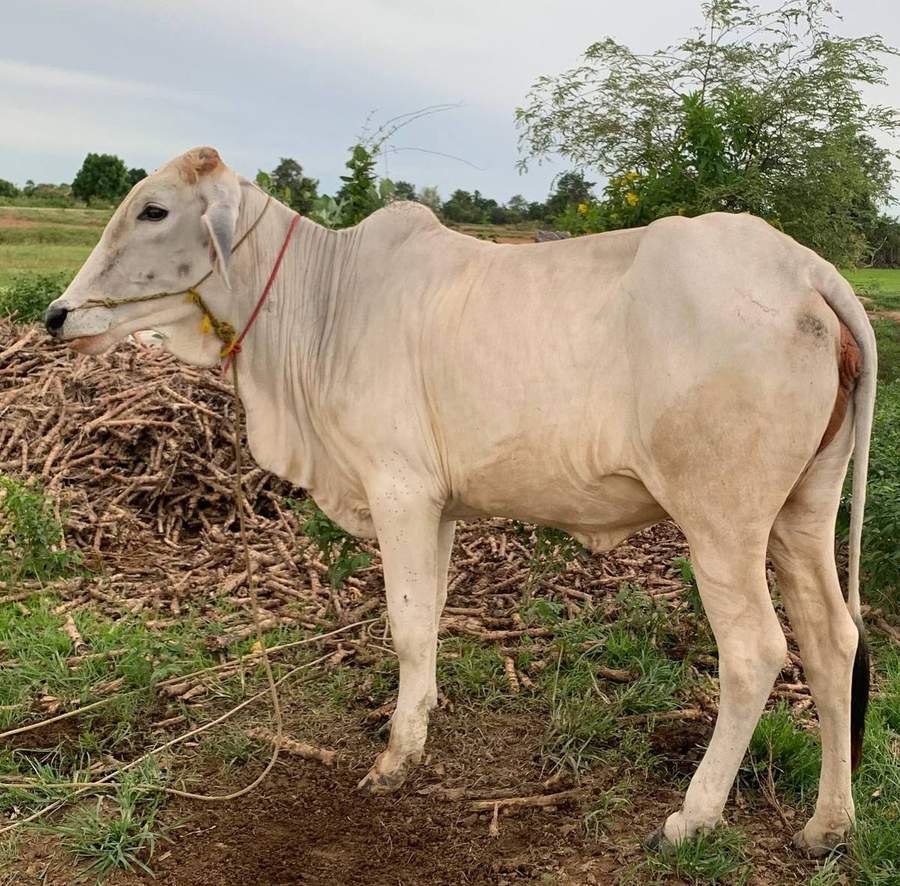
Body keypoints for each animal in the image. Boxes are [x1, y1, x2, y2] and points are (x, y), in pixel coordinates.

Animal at [44, 147, 876, 855]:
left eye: (154, 210)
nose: (57, 316)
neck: (323, 303)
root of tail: (803, 268)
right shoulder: (438, 506)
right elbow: (435, 615)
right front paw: (425, 713)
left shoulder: (400, 490)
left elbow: (408, 625)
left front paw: (397, 757)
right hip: (802, 513)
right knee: (832, 640)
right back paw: (828, 823)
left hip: (721, 523)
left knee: (755, 652)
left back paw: (693, 817)